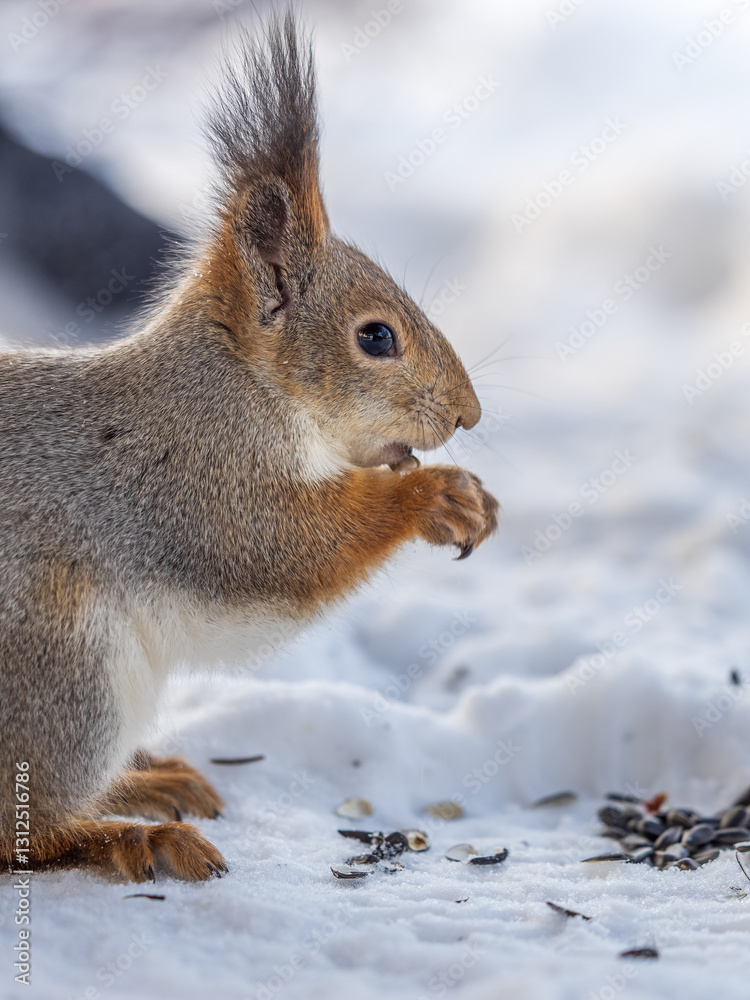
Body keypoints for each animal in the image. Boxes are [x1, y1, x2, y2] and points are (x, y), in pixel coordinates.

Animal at [0, 12, 498, 883]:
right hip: (60, 673)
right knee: (18, 832)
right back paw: (128, 835)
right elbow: (279, 551)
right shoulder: (188, 478)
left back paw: (149, 781)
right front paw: (432, 496)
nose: (467, 415)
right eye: (376, 337)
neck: (241, 383)